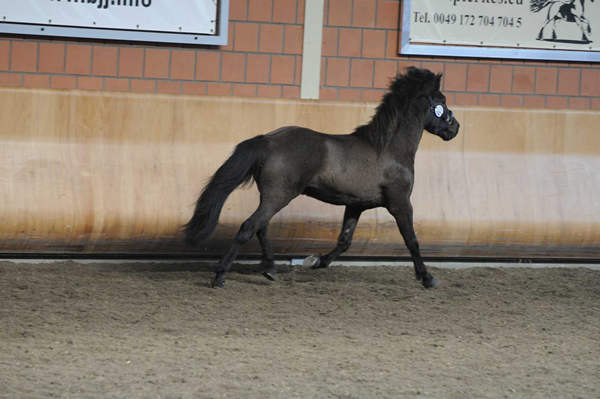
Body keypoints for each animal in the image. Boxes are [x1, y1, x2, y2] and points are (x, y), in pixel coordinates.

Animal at [185, 68, 462, 288]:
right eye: (442, 102)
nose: (455, 128)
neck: (388, 150)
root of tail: (268, 140)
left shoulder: (356, 205)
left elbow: (344, 241)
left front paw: (316, 261)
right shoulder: (400, 203)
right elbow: (412, 240)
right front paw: (427, 278)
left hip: (272, 196)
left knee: (261, 228)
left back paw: (270, 270)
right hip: (280, 195)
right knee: (249, 227)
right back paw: (220, 276)